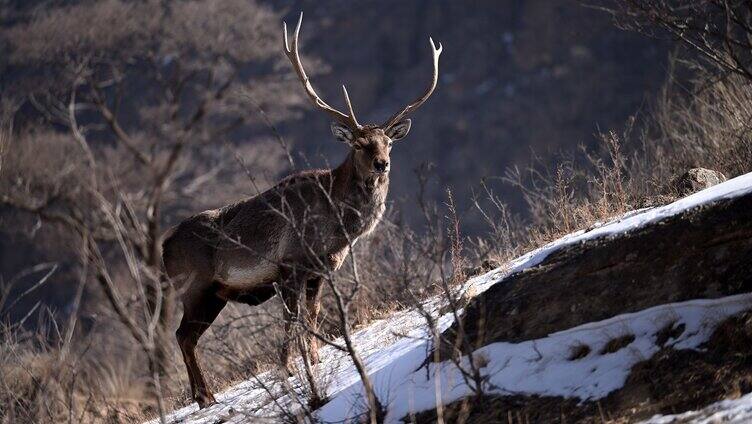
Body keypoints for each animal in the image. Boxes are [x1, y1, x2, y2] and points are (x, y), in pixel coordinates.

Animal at [162, 13, 438, 410]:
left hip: (213, 295)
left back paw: (205, 397)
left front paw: (316, 360)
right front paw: (289, 372)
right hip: (195, 287)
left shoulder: (320, 272)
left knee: (187, 336)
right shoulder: (289, 266)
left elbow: (313, 316)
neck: (336, 228)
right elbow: (292, 323)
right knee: (183, 335)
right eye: (359, 144)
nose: (382, 164)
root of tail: (163, 248)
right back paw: (205, 397)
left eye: (387, 142)